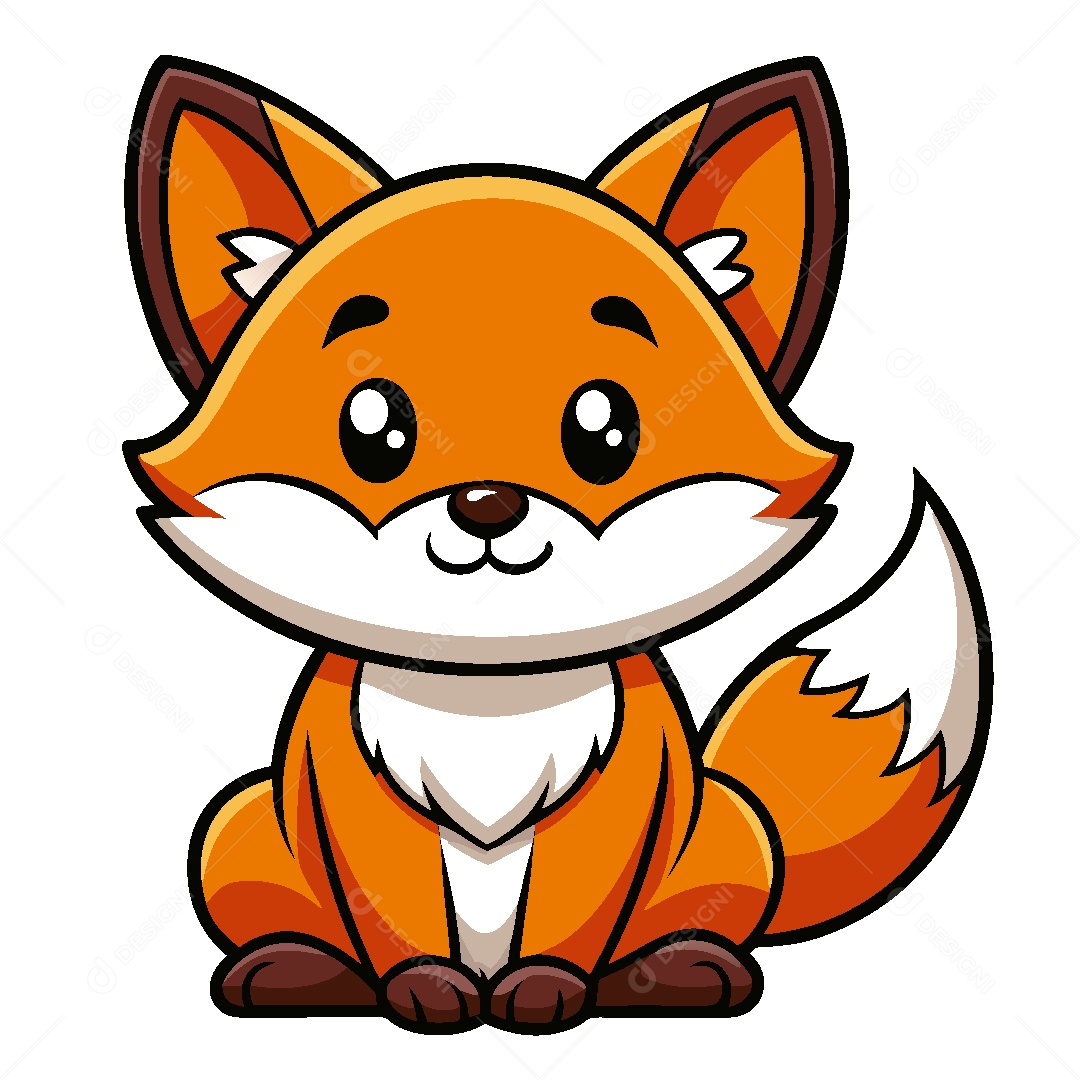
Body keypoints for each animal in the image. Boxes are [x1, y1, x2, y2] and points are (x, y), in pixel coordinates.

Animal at [124, 55, 991, 1033]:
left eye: (604, 431)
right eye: (371, 428)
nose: (488, 505)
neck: (490, 692)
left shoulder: (626, 794)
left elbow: (573, 912)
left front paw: (545, 987)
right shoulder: (348, 796)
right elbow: (394, 908)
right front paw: (426, 986)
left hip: (726, 829)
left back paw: (680, 968)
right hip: (238, 826)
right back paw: (296, 967)